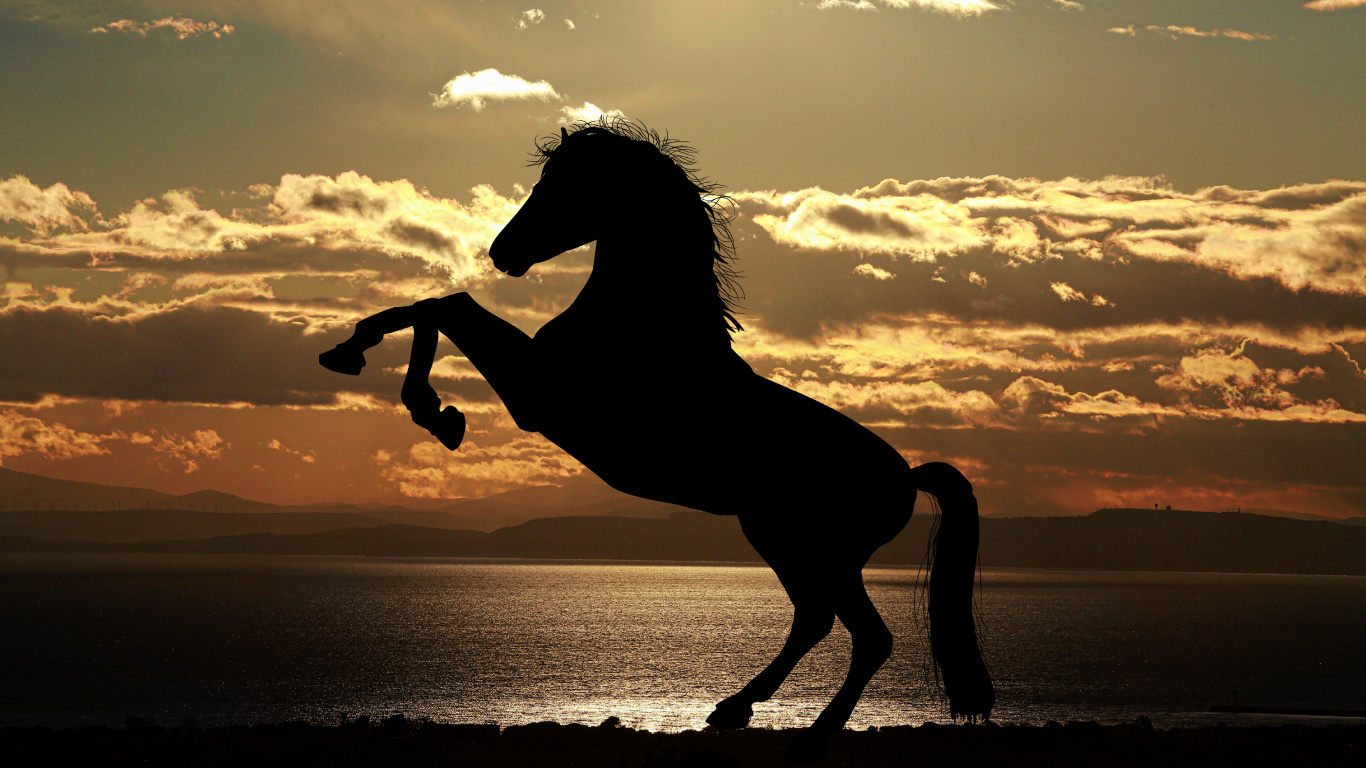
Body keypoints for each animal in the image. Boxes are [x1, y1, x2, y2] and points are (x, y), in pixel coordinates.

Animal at [319, 119, 993, 762]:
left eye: (566, 184)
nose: (502, 251)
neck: (642, 326)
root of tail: (906, 476)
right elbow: (434, 304)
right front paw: (359, 357)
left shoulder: (537, 395)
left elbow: (446, 305)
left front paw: (429, 407)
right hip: (780, 538)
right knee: (815, 620)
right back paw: (734, 708)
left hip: (818, 549)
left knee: (865, 636)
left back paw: (809, 737)